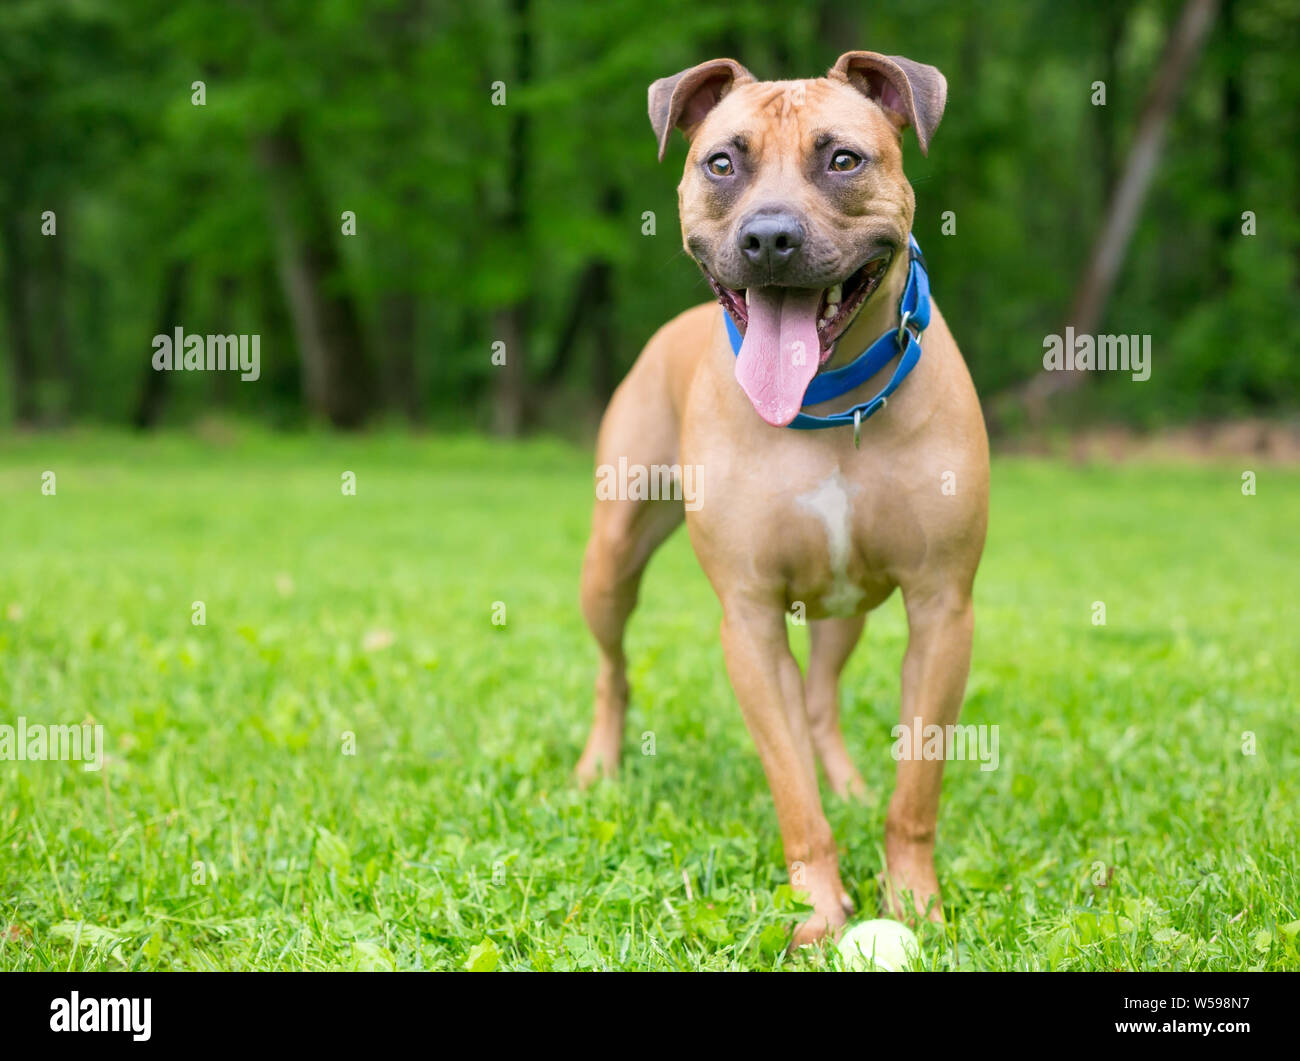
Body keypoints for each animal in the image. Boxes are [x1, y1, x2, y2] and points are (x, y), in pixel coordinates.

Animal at [574, 51, 987, 946]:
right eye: (722, 163)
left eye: (844, 160)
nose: (768, 237)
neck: (829, 402)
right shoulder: (752, 618)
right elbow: (792, 793)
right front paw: (819, 907)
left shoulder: (941, 607)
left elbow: (916, 786)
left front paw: (913, 899)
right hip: (612, 559)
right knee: (614, 669)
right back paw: (598, 767)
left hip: (849, 605)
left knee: (822, 698)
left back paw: (848, 781)